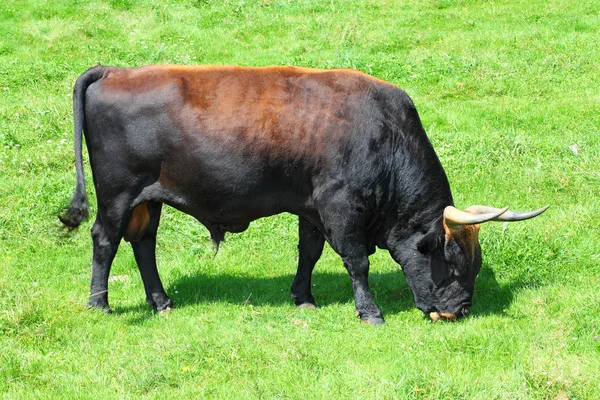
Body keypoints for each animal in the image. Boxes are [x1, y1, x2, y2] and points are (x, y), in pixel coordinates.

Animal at [61, 64, 548, 324]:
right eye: (453, 262)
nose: (460, 311)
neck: (384, 133)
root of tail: (115, 71)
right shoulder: (340, 205)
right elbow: (357, 261)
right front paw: (369, 312)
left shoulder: (312, 206)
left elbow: (309, 252)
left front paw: (304, 297)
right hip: (118, 194)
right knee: (105, 241)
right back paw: (100, 303)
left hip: (148, 199)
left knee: (143, 244)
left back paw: (162, 302)